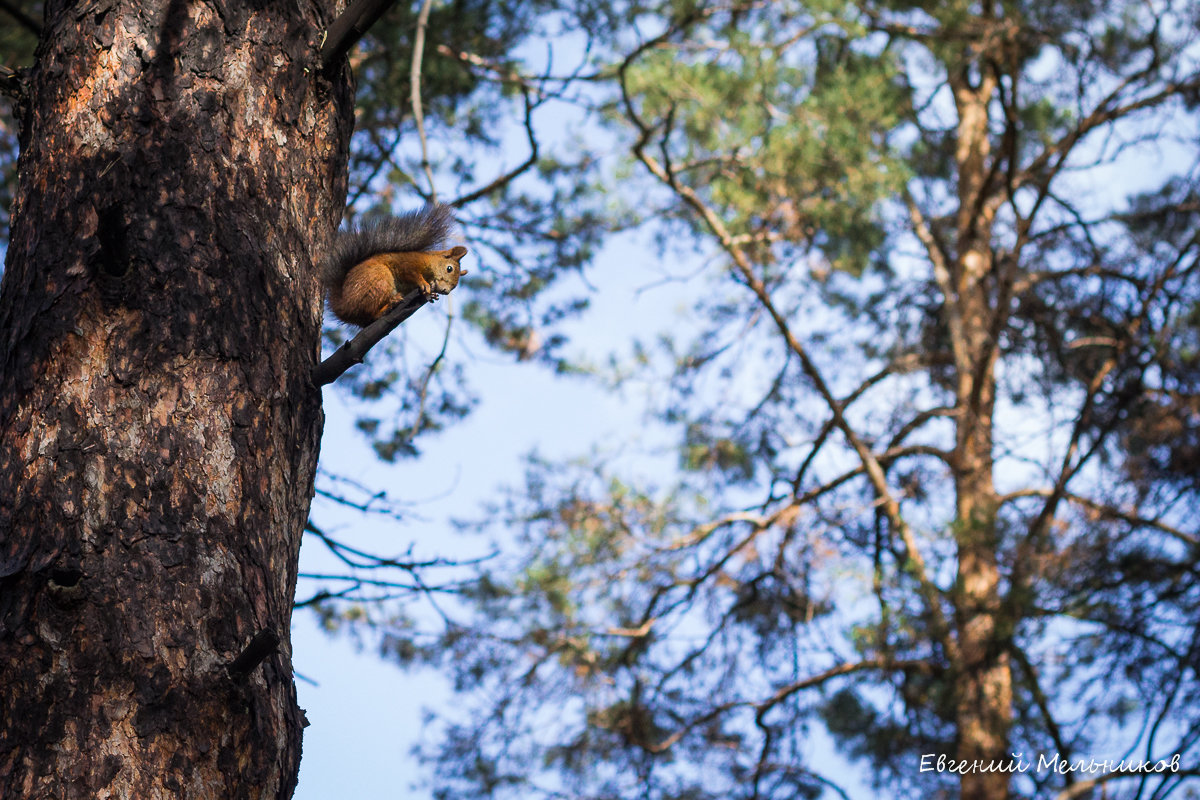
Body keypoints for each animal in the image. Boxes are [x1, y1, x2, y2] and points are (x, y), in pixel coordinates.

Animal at [321, 205, 470, 326]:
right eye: (449, 269)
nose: (446, 291)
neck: (429, 262)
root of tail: (343, 306)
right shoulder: (407, 263)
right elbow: (411, 273)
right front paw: (424, 284)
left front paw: (431, 295)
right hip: (378, 280)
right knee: (369, 313)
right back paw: (388, 305)